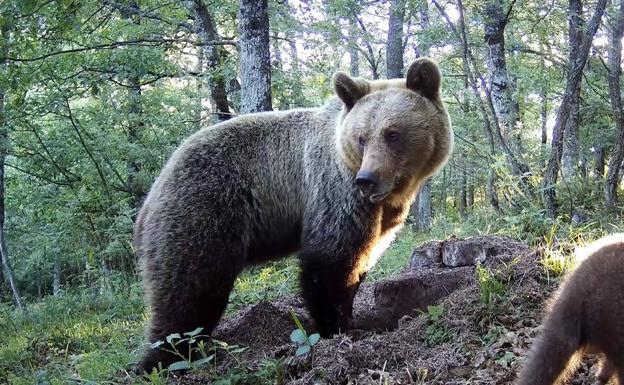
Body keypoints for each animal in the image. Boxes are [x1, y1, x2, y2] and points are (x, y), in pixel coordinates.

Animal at [134, 57, 454, 368]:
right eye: (362, 138)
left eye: (392, 133)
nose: (367, 179)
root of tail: (152, 194)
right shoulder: (334, 192)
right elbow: (330, 261)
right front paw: (337, 327)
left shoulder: (382, 215)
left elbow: (363, 258)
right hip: (205, 209)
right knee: (189, 290)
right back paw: (161, 359)